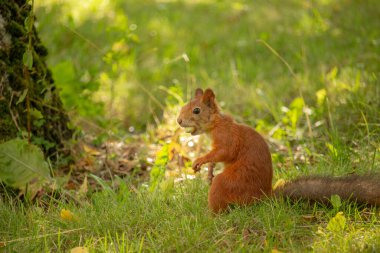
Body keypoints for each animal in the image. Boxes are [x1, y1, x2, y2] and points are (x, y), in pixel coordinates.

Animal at [177, 88, 380, 212]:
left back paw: (210, 216)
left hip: (230, 184)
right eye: (183, 106)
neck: (216, 123)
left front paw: (200, 160)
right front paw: (209, 169)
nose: (179, 121)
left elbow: (224, 152)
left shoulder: (228, 138)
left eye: (196, 110)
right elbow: (216, 157)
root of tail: (263, 197)